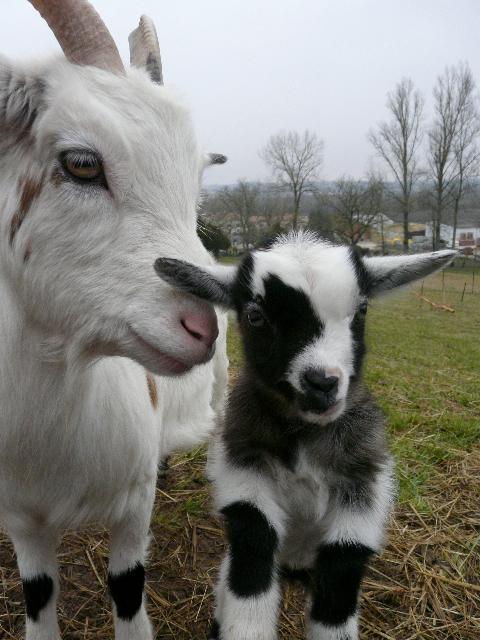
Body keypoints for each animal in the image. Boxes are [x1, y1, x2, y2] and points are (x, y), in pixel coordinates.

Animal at [0, 2, 228, 636]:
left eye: (195, 178)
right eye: (82, 163)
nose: (203, 327)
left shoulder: (133, 506)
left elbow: (127, 588)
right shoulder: (21, 520)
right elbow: (38, 594)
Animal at [156, 234, 456, 640]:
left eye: (362, 309)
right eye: (255, 316)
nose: (322, 383)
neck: (304, 439)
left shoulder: (363, 485)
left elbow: (342, 575)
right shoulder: (244, 468)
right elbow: (252, 550)